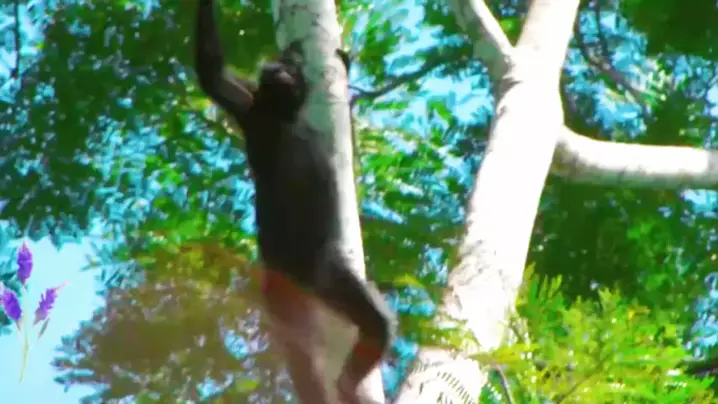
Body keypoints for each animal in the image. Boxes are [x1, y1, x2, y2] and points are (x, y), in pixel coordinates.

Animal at [193, 1, 395, 402]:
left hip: (325, 275)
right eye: (277, 68)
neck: (284, 118)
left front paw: (345, 64)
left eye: (288, 71)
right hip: (279, 287)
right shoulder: (250, 108)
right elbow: (212, 73)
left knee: (374, 324)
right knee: (301, 357)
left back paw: (347, 381)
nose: (280, 71)